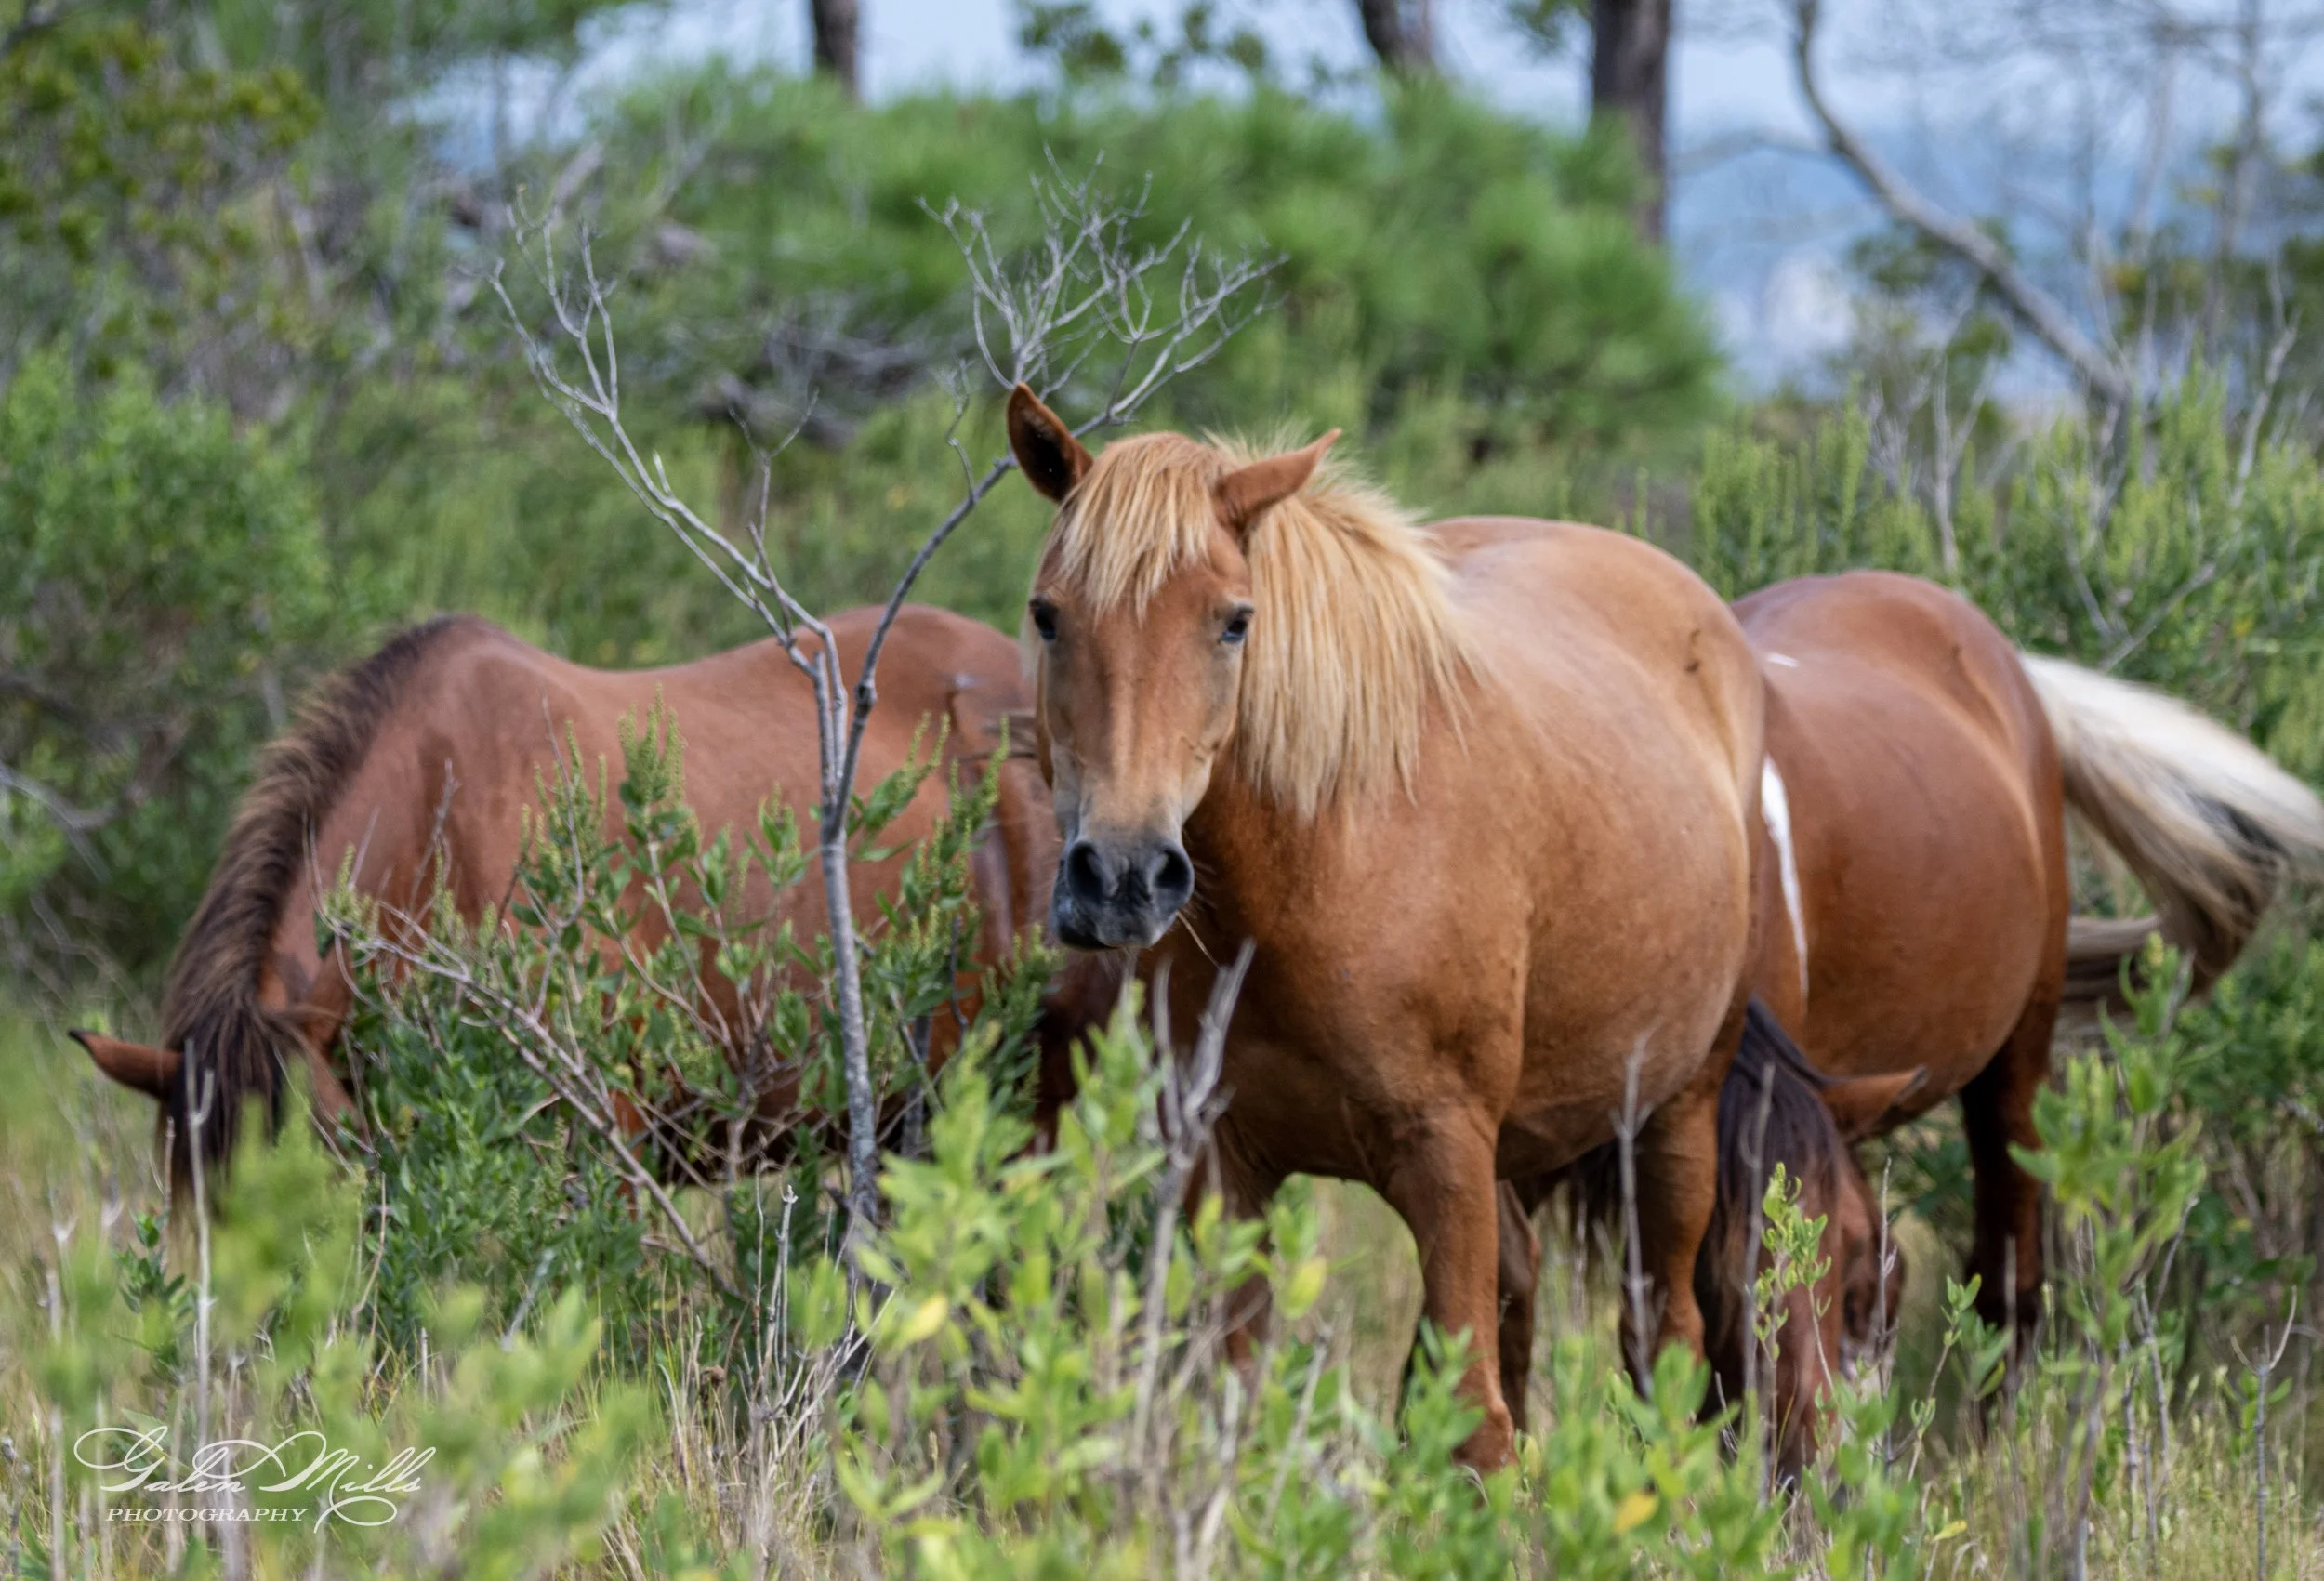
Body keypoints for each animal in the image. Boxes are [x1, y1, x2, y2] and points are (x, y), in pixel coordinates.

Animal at [1003, 385, 1770, 1469]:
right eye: (1048, 614)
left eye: (1234, 621)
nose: (1119, 876)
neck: (1311, 880)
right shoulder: (1223, 1167)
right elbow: (1241, 1410)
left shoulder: (1444, 1156)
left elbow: (1476, 1429)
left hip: (1675, 1117)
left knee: (1665, 1340)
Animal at [1503, 568, 2324, 1470]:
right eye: (1725, 1287)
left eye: (1852, 1262)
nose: (1803, 1474)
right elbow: (1514, 1300)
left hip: (2017, 1056)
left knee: (2010, 1275)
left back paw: (1996, 1458)